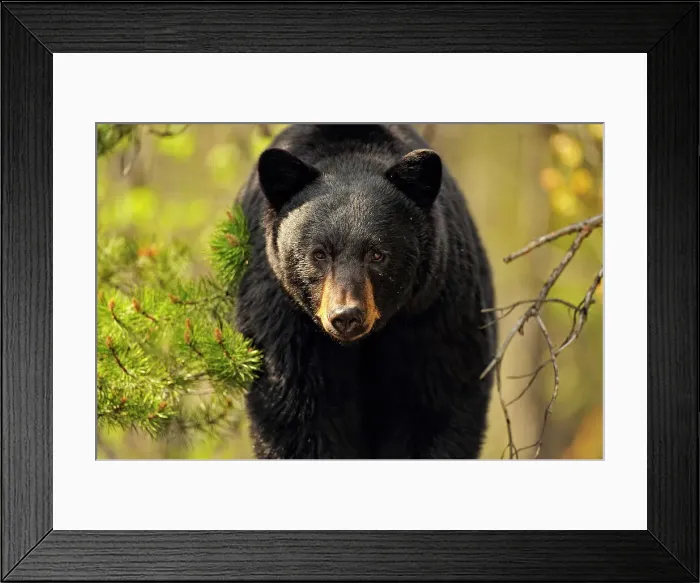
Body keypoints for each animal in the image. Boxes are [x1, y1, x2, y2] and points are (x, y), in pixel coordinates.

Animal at [234, 124, 496, 459]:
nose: (346, 315)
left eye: (377, 254)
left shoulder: (436, 312)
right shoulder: (282, 319)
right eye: (319, 253)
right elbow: (295, 415)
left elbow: (438, 405)